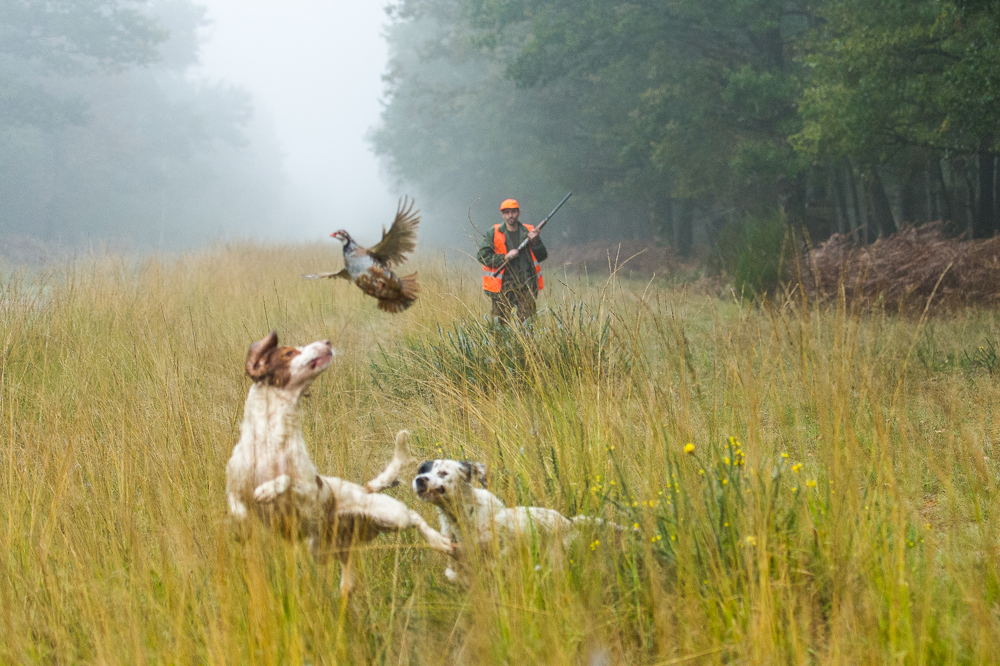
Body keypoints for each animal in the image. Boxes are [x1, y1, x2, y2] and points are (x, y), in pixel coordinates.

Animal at [226, 330, 454, 592]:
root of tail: (365, 489)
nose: (326, 342)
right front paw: (242, 524)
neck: (271, 439)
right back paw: (346, 586)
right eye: (289, 352)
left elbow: (287, 479)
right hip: (320, 550)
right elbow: (236, 507)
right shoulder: (233, 484)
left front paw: (268, 490)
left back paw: (439, 541)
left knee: (414, 518)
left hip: (391, 515)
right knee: (348, 561)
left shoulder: (308, 489)